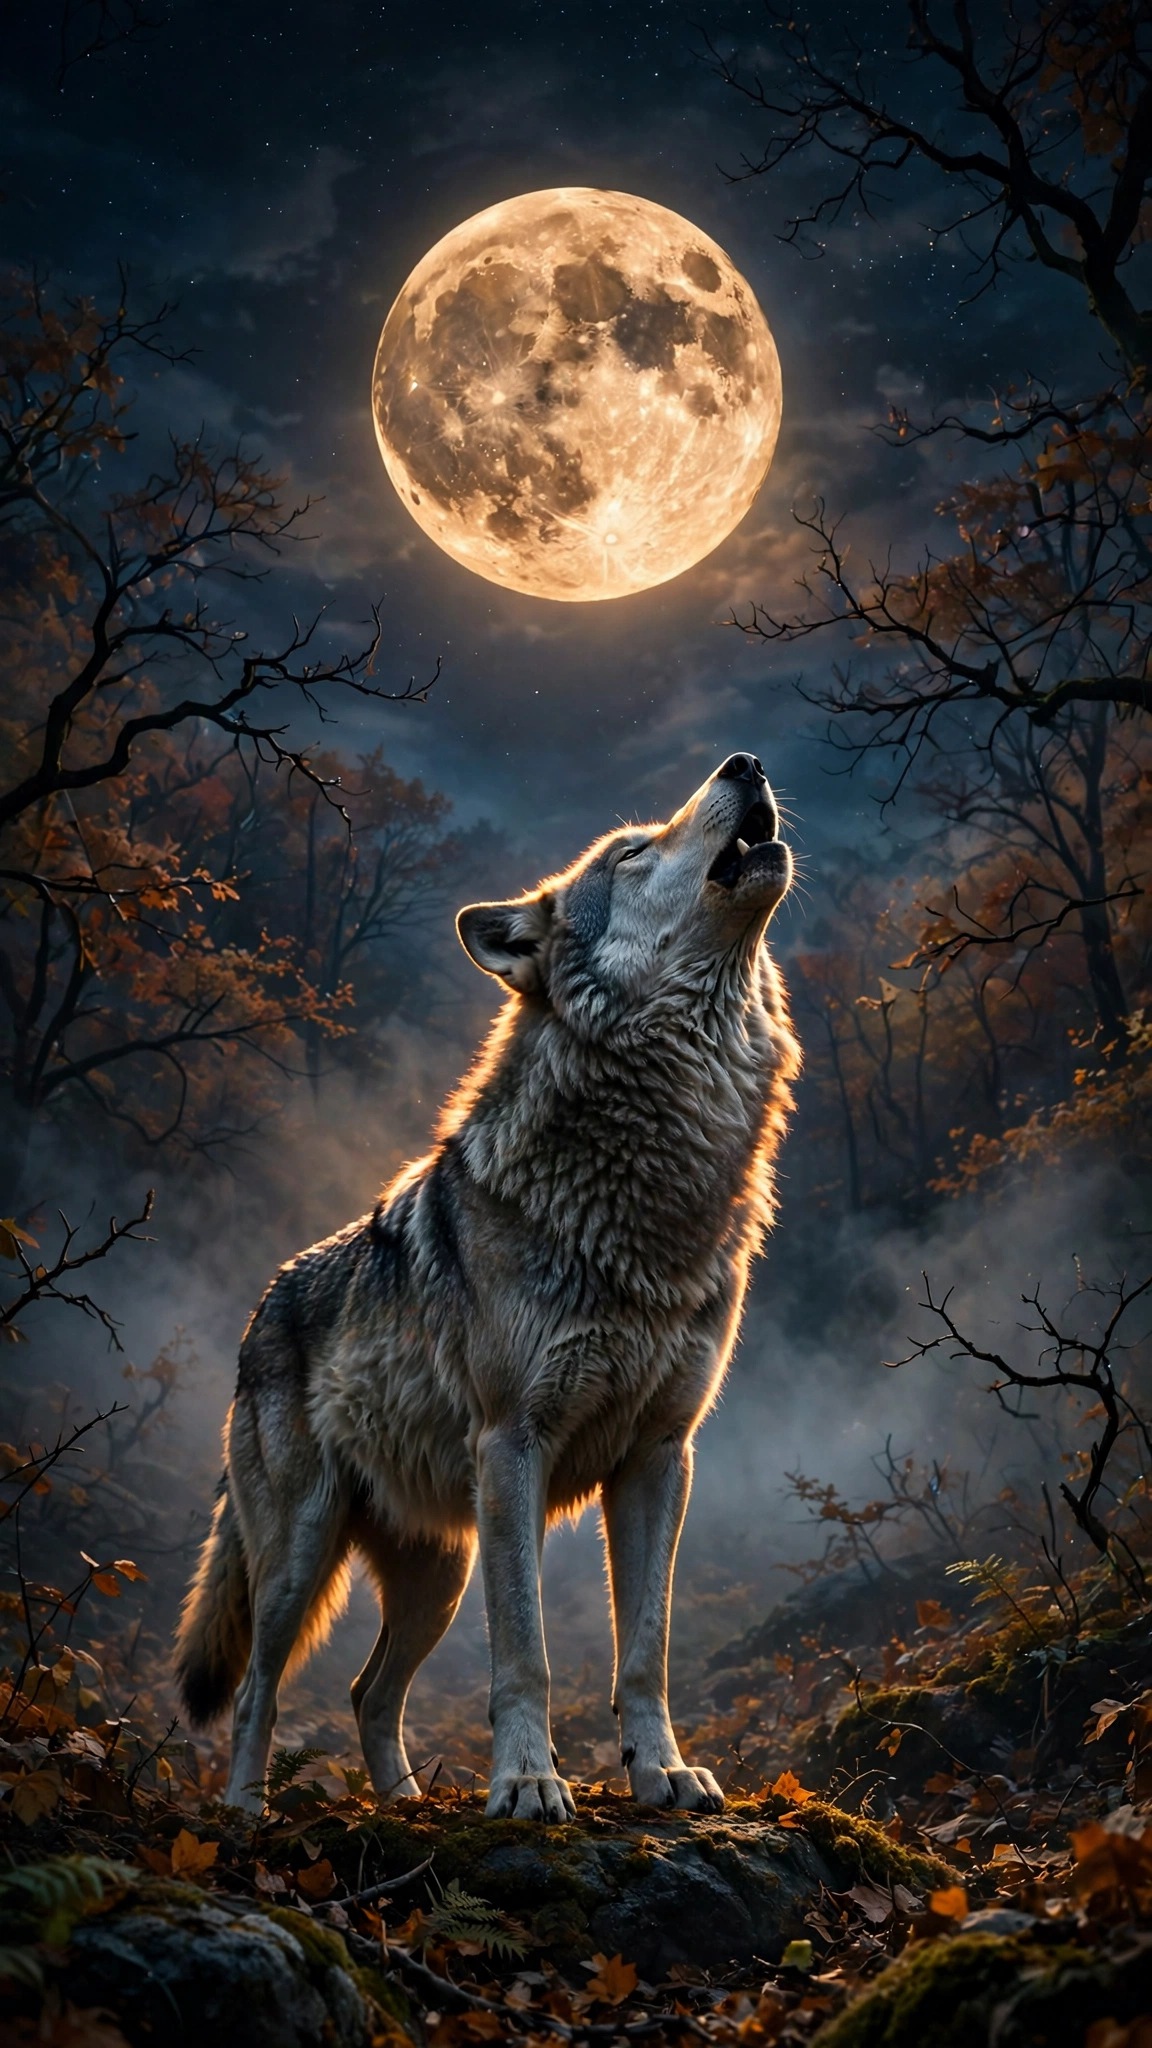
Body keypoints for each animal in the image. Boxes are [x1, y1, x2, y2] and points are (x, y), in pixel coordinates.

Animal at [176, 752, 799, 1821]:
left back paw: (405, 1804)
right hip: (303, 1553)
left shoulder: (661, 1458)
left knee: (367, 1690)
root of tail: (262, 1309)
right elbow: (527, 1653)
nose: (746, 762)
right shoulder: (516, 1446)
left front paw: (663, 1773)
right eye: (632, 853)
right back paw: (245, 1816)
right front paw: (527, 1784)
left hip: (440, 1569)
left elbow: (646, 1651)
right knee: (262, 1685)